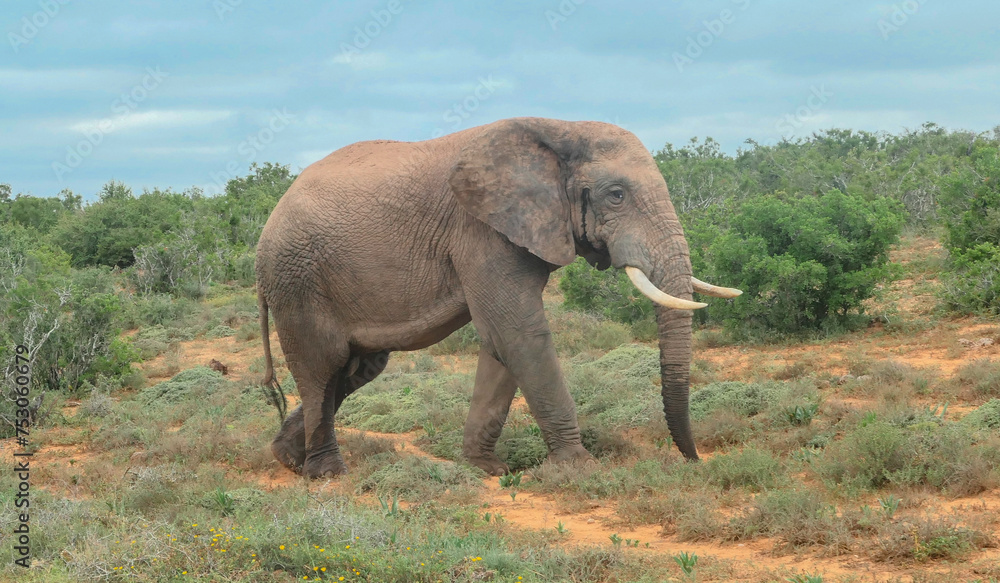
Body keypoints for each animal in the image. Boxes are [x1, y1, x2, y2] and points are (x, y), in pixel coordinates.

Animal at [256, 117, 744, 480]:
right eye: (617, 195)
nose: (693, 461)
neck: (559, 129)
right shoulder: (481, 232)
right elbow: (520, 334)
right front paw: (579, 470)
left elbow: (501, 343)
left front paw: (487, 469)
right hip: (298, 279)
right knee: (322, 368)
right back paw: (327, 474)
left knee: (354, 370)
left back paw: (287, 459)